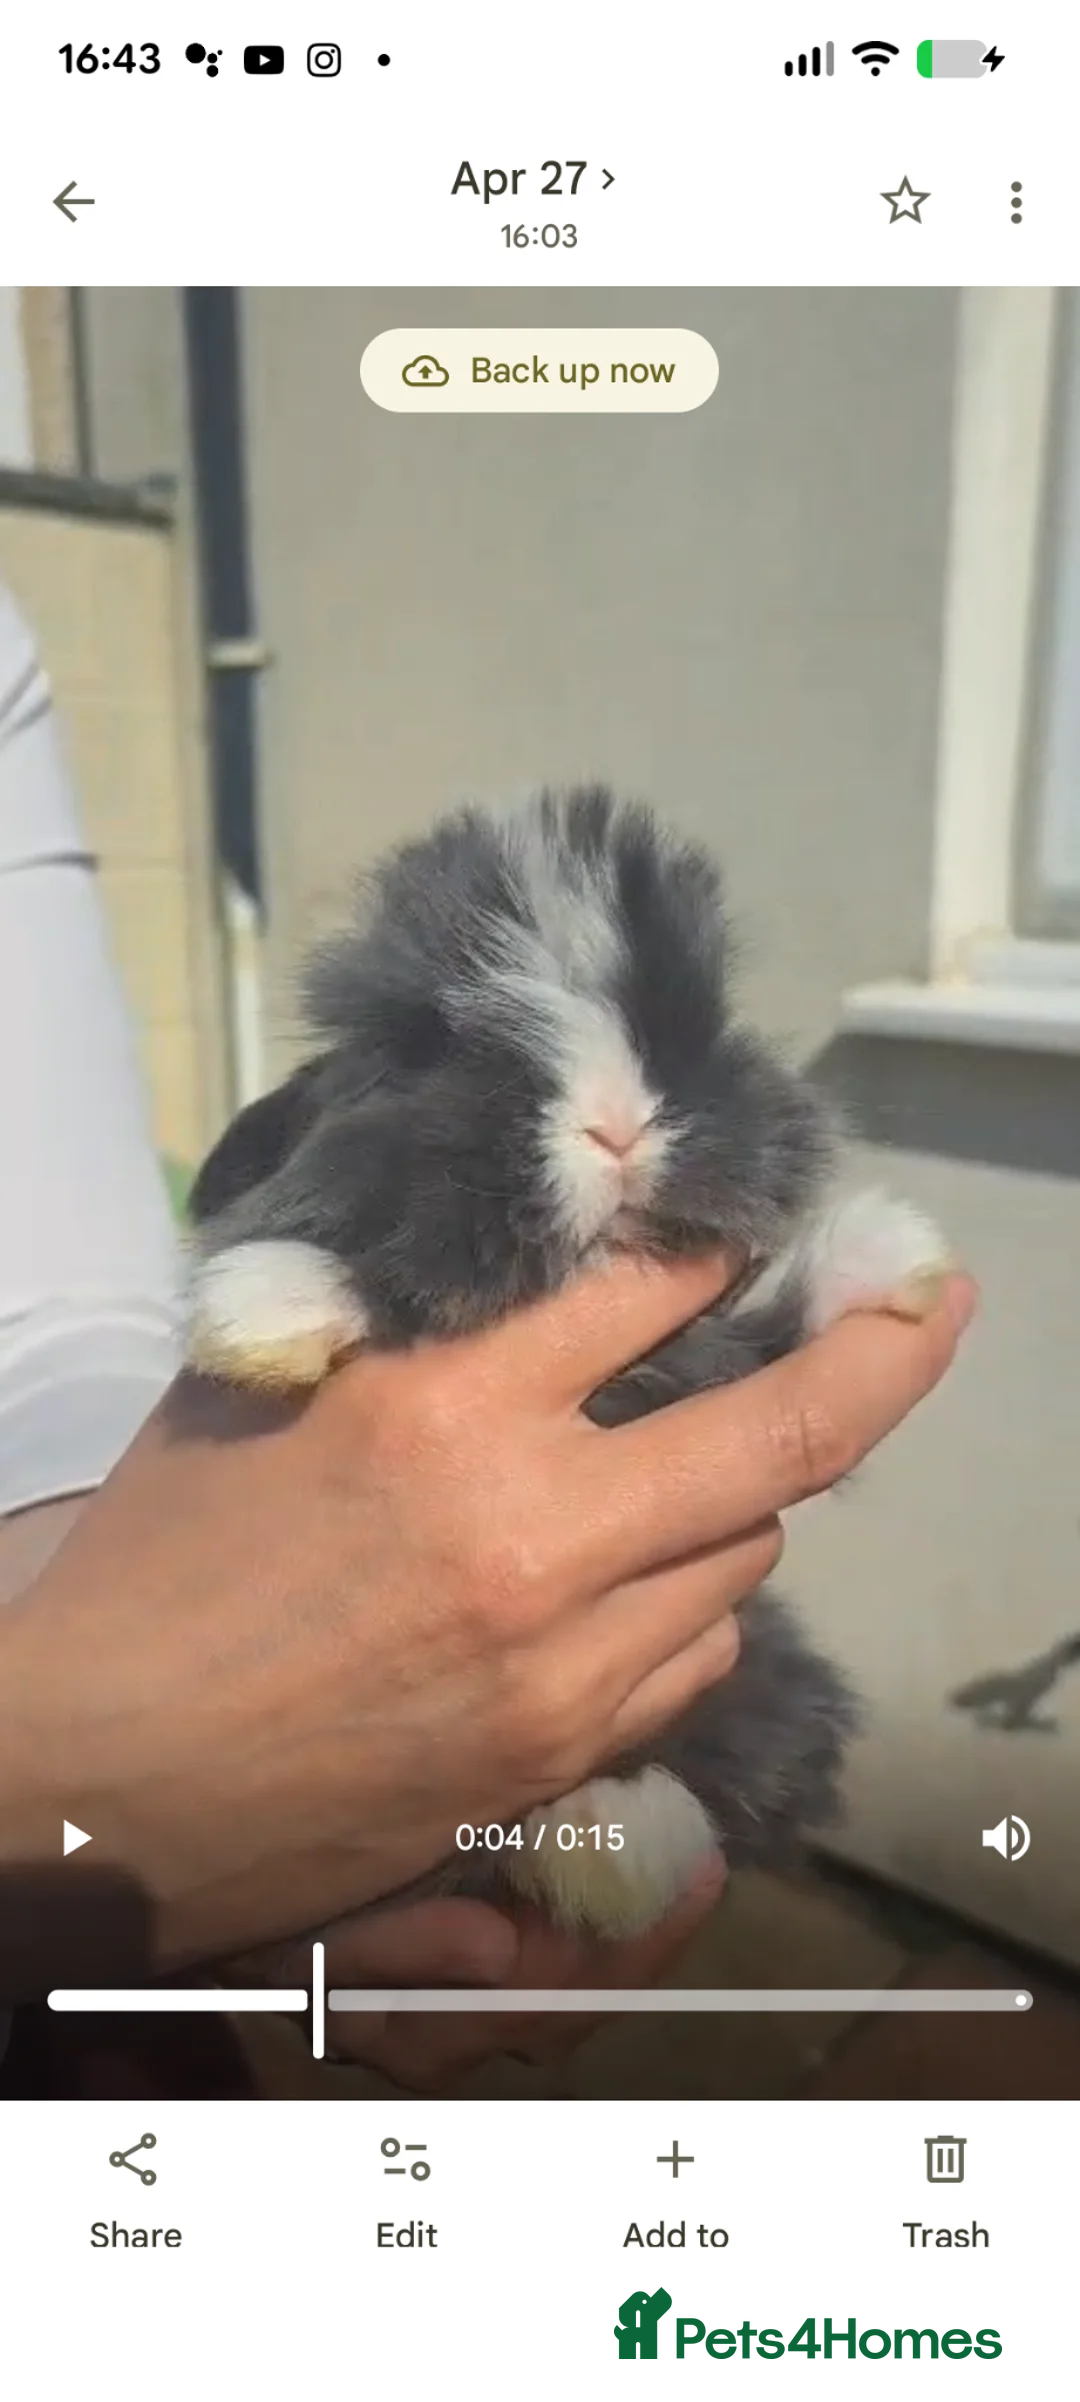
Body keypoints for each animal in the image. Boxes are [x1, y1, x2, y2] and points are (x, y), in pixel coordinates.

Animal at [184, 785, 951, 1940]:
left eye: (691, 1012)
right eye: (427, 1047)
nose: (618, 1124)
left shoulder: (706, 1360)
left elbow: (776, 1336)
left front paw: (895, 1250)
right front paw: (259, 1307)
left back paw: (621, 1841)